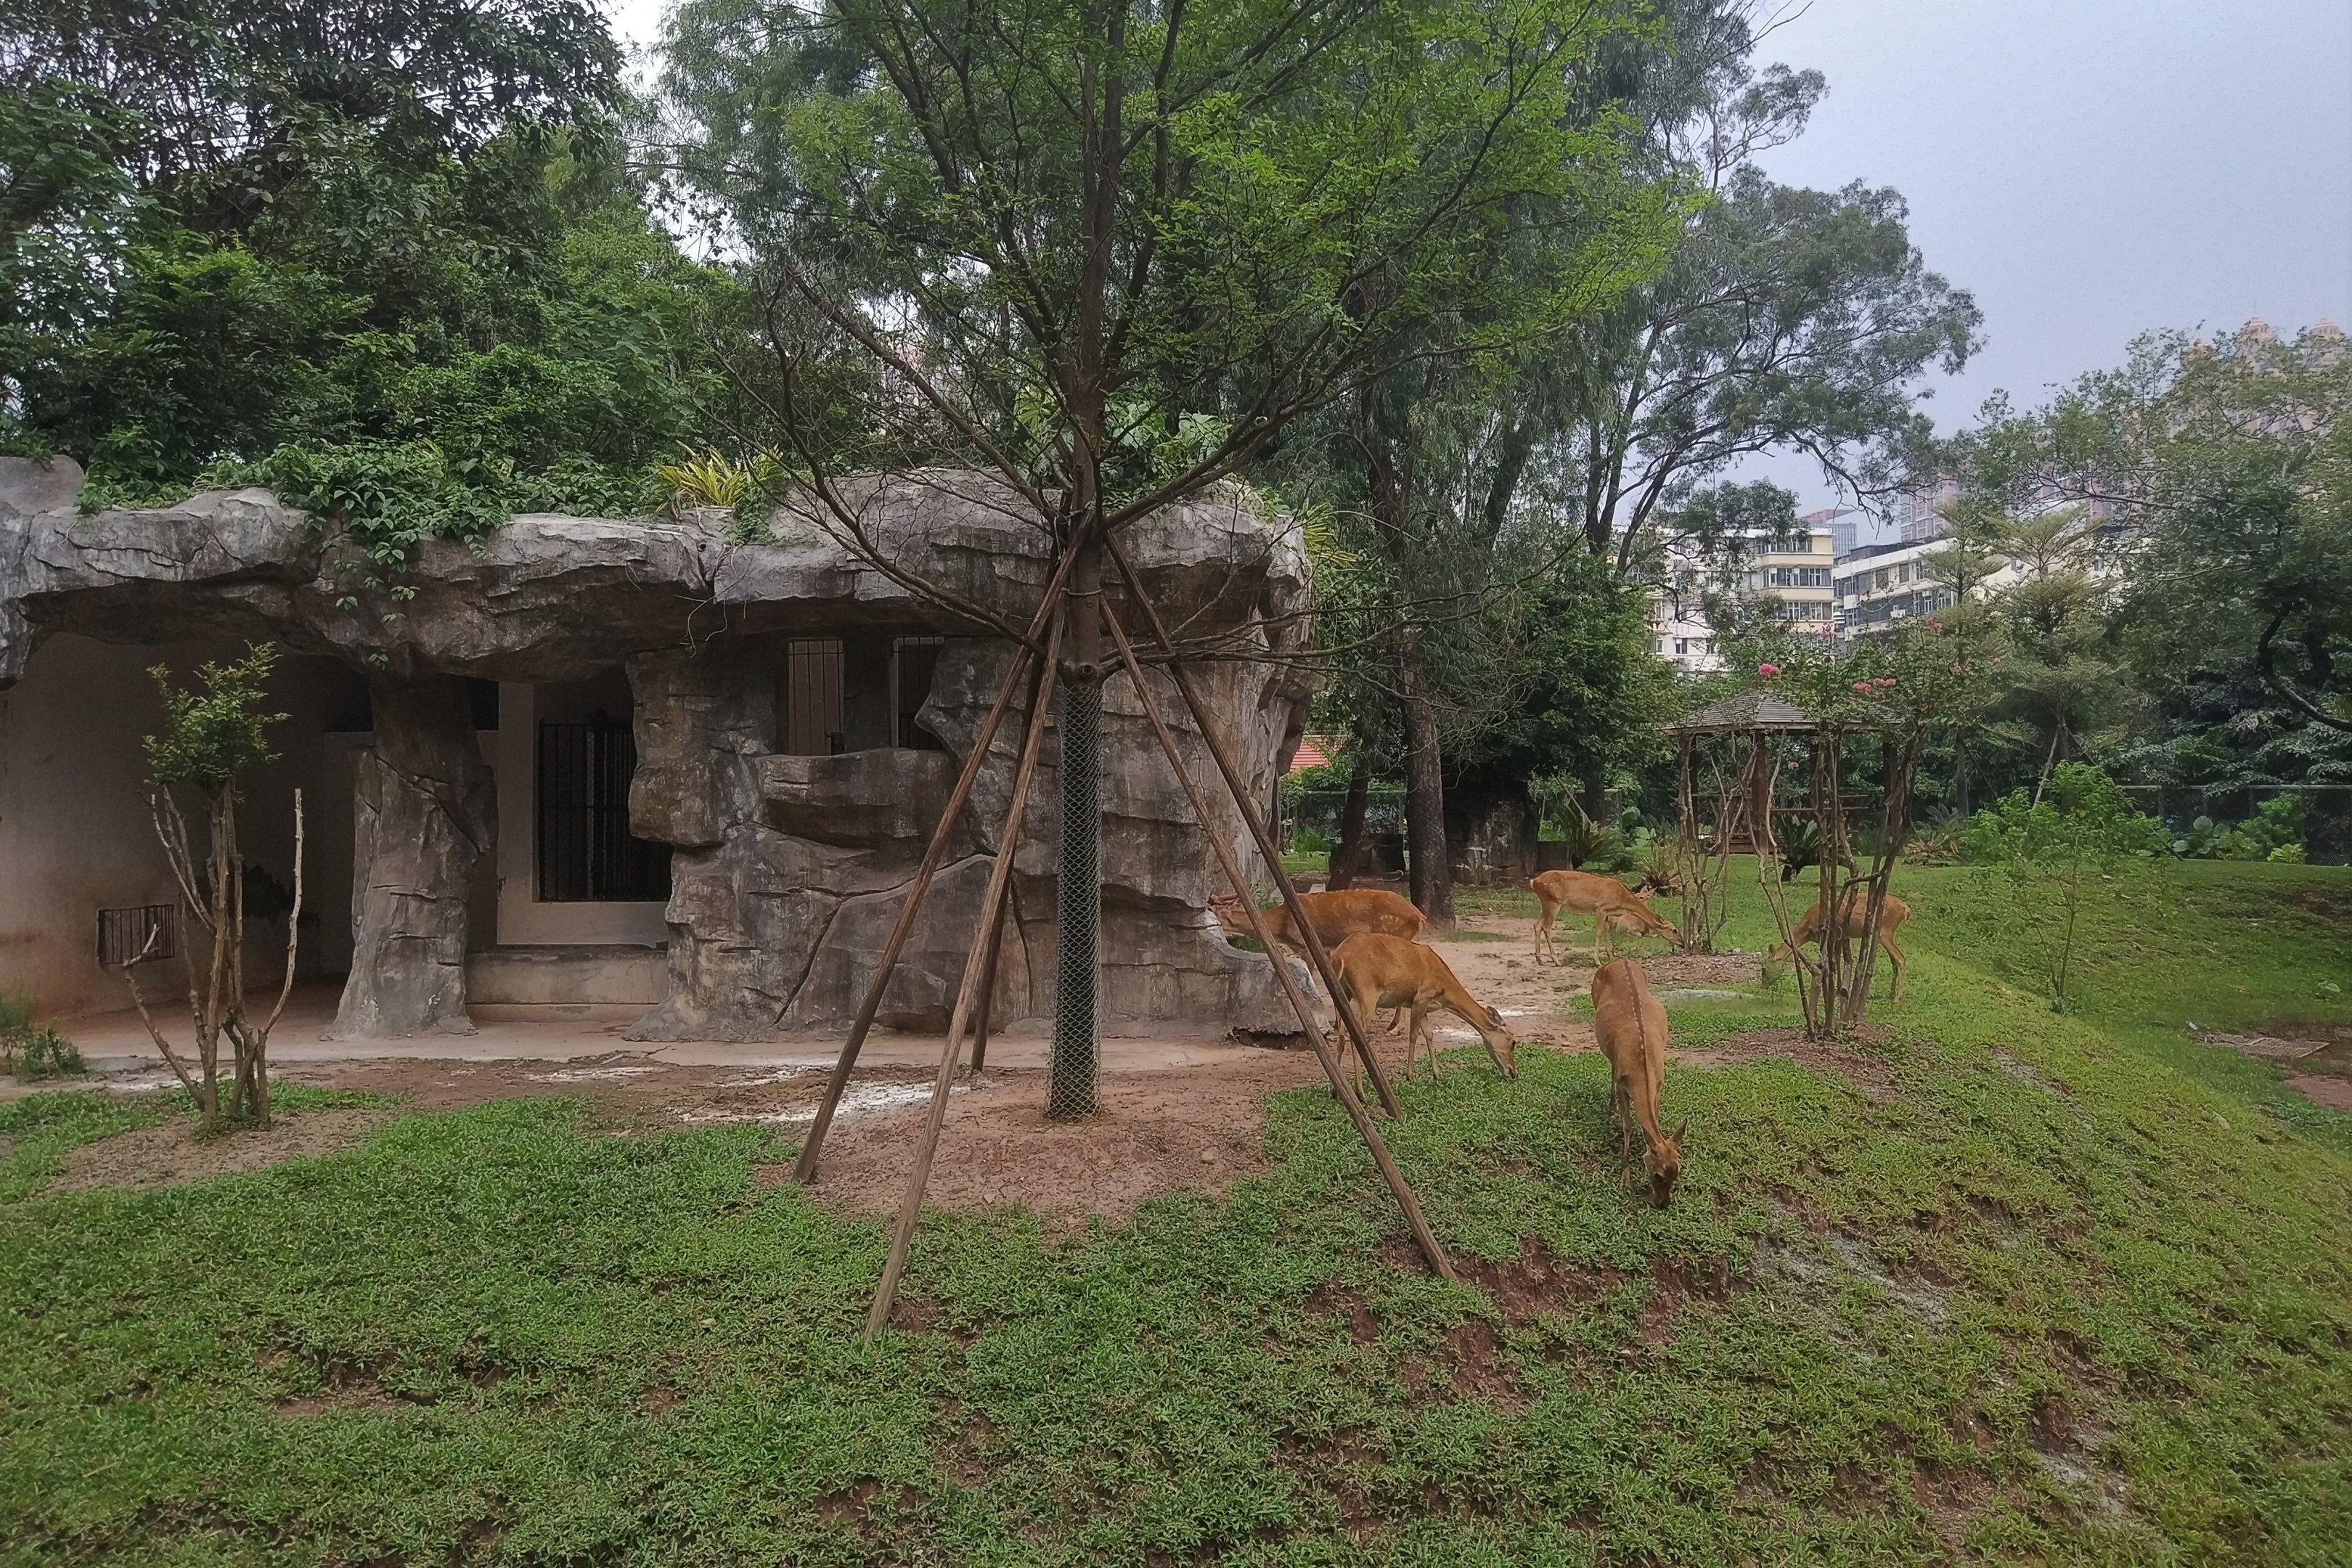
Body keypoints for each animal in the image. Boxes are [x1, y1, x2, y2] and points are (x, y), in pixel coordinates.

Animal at [1326, 933, 1516, 1084]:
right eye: (1513, 1042)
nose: (1513, 1072)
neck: (1444, 990)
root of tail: (1339, 958)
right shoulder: (1421, 997)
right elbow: (1414, 1034)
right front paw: (1410, 1076)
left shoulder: (1425, 1005)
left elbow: (1429, 1034)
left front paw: (1437, 1074)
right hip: (1366, 992)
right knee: (1354, 1033)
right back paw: (1360, 1092)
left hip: (1343, 993)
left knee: (1342, 1033)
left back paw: (1336, 1090)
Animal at [1529, 868, 1680, 966]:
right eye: (1674, 930)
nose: (1682, 943)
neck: (1621, 899)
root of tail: (1534, 881)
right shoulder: (1601, 908)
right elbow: (1599, 932)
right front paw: (1597, 961)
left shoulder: (1608, 912)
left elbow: (1607, 931)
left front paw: (1611, 956)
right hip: (1554, 902)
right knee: (1546, 927)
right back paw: (1556, 960)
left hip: (1546, 903)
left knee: (1537, 925)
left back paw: (1540, 959)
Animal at [1590, 957, 1685, 1207]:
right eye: (1658, 1175)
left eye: (1678, 1172)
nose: (1663, 1204)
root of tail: (1619, 959)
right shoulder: (1624, 1084)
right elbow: (1628, 1125)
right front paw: (1624, 1178)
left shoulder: (1659, 1084)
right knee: (1612, 1069)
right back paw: (1611, 1109)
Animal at [1768, 889, 1912, 1002]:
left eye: (1765, 969)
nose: (1765, 985)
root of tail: (1906, 908)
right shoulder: (1841, 937)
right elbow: (1838, 959)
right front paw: (1839, 989)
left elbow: (1832, 960)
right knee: (1894, 961)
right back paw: (1891, 995)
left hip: (1885, 931)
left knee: (1900, 958)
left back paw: (1897, 999)